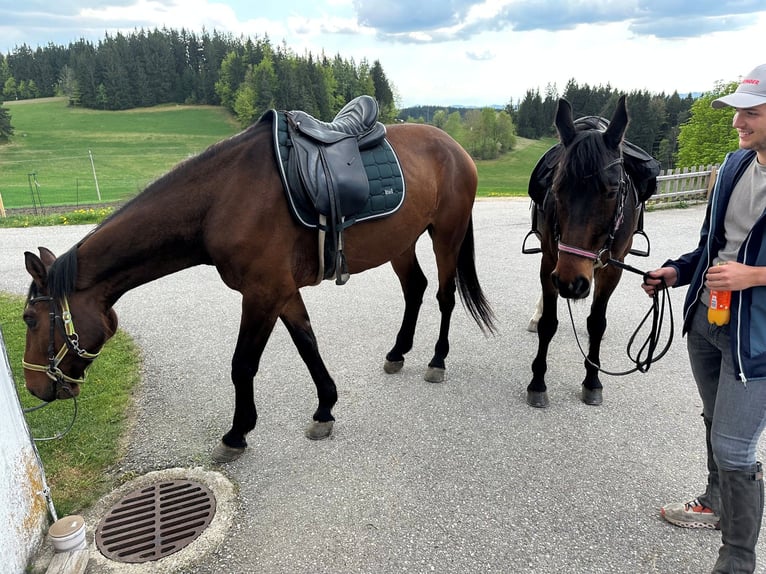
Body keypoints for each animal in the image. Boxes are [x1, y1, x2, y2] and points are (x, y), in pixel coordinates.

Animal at [20, 107, 496, 463]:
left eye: (29, 318)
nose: (34, 388)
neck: (220, 199)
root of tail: (455, 147)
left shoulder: (262, 293)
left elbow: (242, 364)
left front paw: (236, 433)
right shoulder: (281, 291)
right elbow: (308, 344)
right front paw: (325, 408)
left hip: (446, 235)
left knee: (444, 296)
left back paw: (437, 360)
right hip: (401, 243)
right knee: (415, 289)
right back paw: (398, 353)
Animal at [526, 95, 659, 408]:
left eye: (611, 191)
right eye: (557, 188)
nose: (571, 282)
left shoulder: (612, 267)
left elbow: (597, 323)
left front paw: (593, 380)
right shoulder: (551, 259)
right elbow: (549, 323)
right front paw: (538, 382)